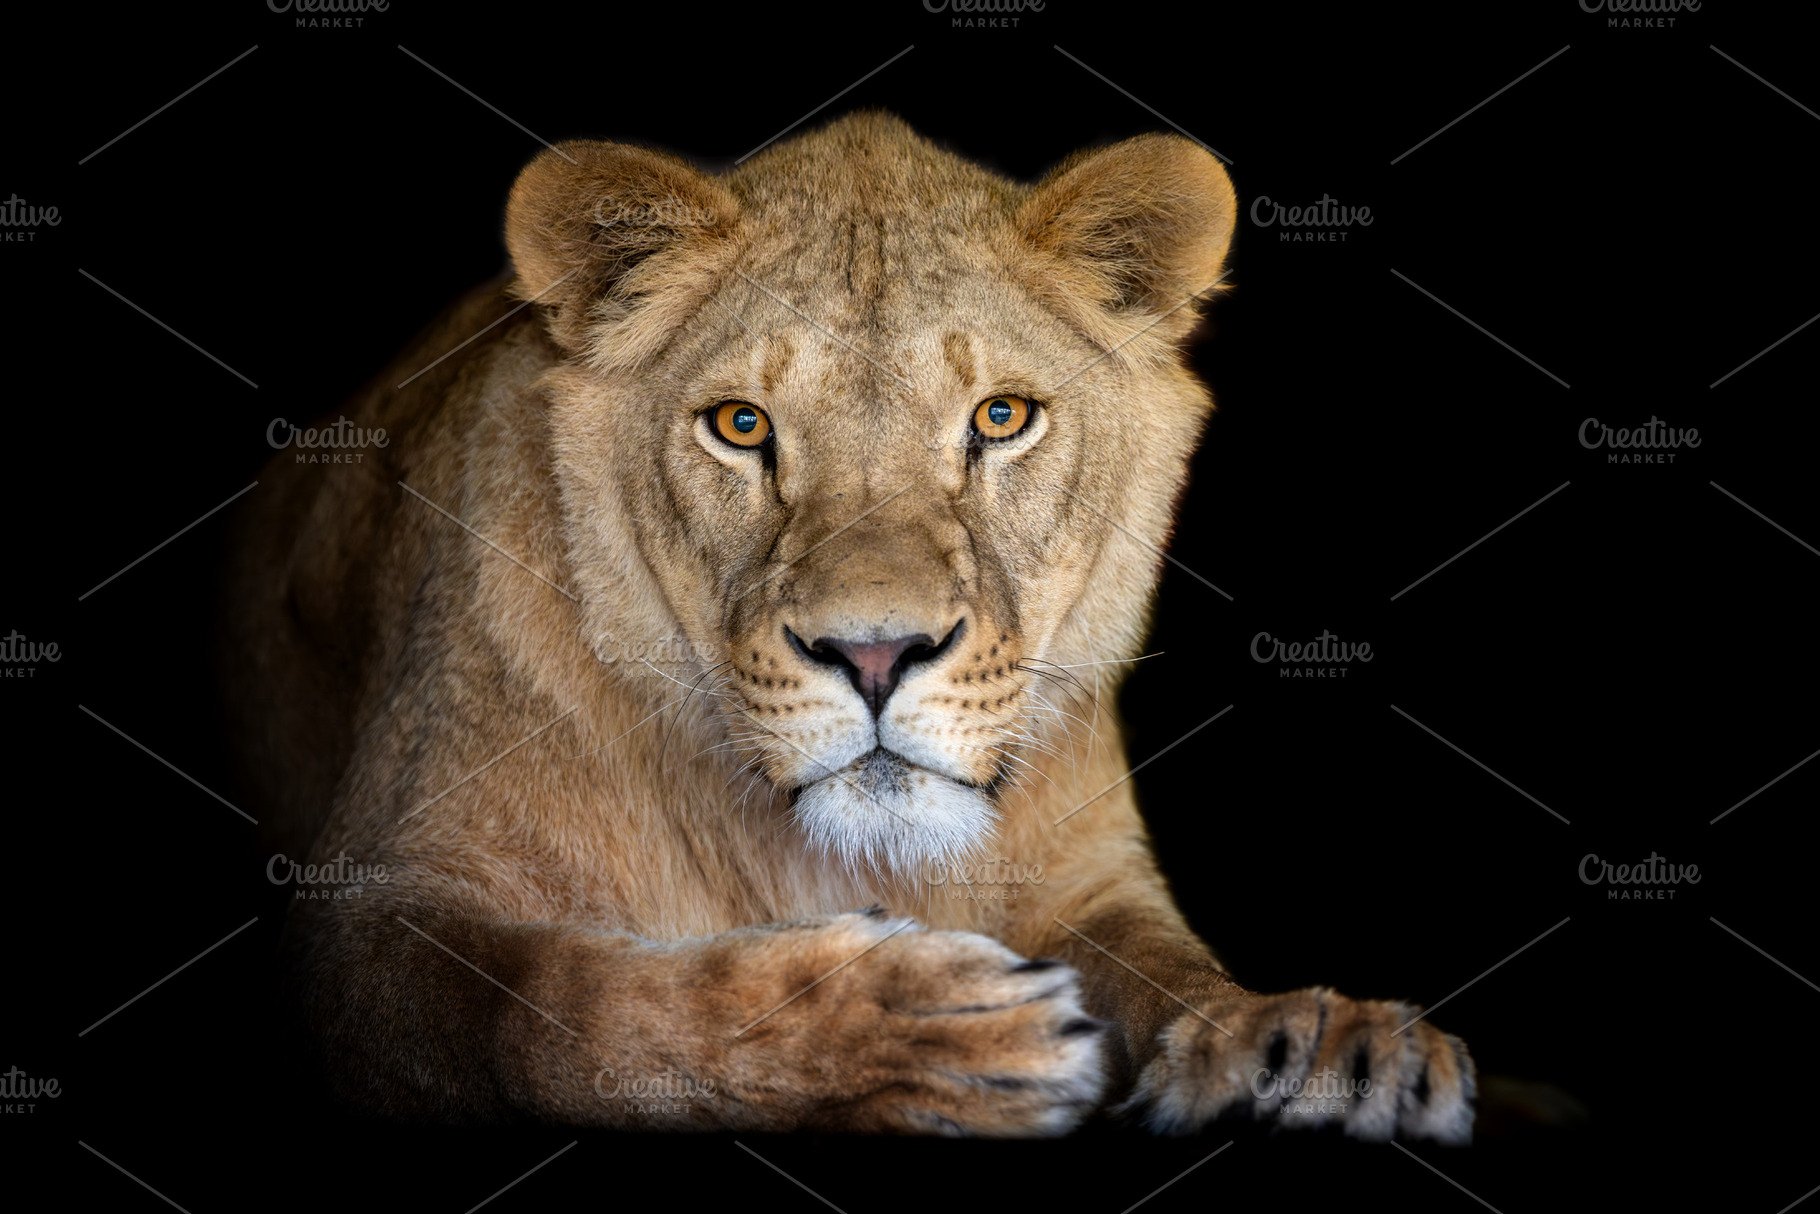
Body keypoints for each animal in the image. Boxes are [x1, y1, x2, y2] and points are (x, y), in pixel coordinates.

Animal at [220, 112, 1474, 1138]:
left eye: (999, 416)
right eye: (740, 425)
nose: (874, 653)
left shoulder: (1088, 880)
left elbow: (1168, 967)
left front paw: (1310, 1045)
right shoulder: (373, 918)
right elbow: (561, 1006)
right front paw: (933, 1034)